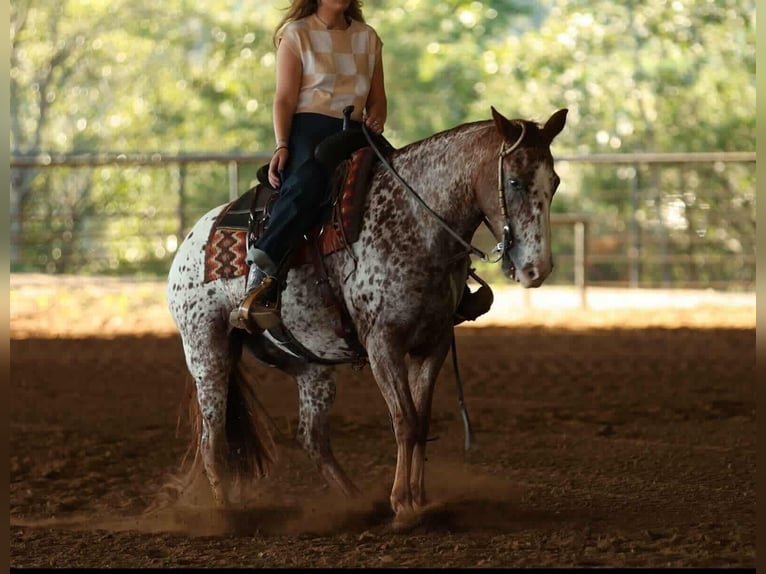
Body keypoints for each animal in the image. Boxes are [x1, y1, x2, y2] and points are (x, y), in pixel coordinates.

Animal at [165, 106, 568, 526]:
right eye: (515, 181)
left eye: (554, 182)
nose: (537, 269)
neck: (414, 222)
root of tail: (194, 238)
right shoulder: (382, 343)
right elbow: (404, 420)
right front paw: (404, 505)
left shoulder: (434, 343)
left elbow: (421, 420)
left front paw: (418, 500)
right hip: (207, 351)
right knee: (213, 436)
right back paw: (225, 515)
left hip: (310, 366)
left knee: (312, 438)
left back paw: (358, 501)